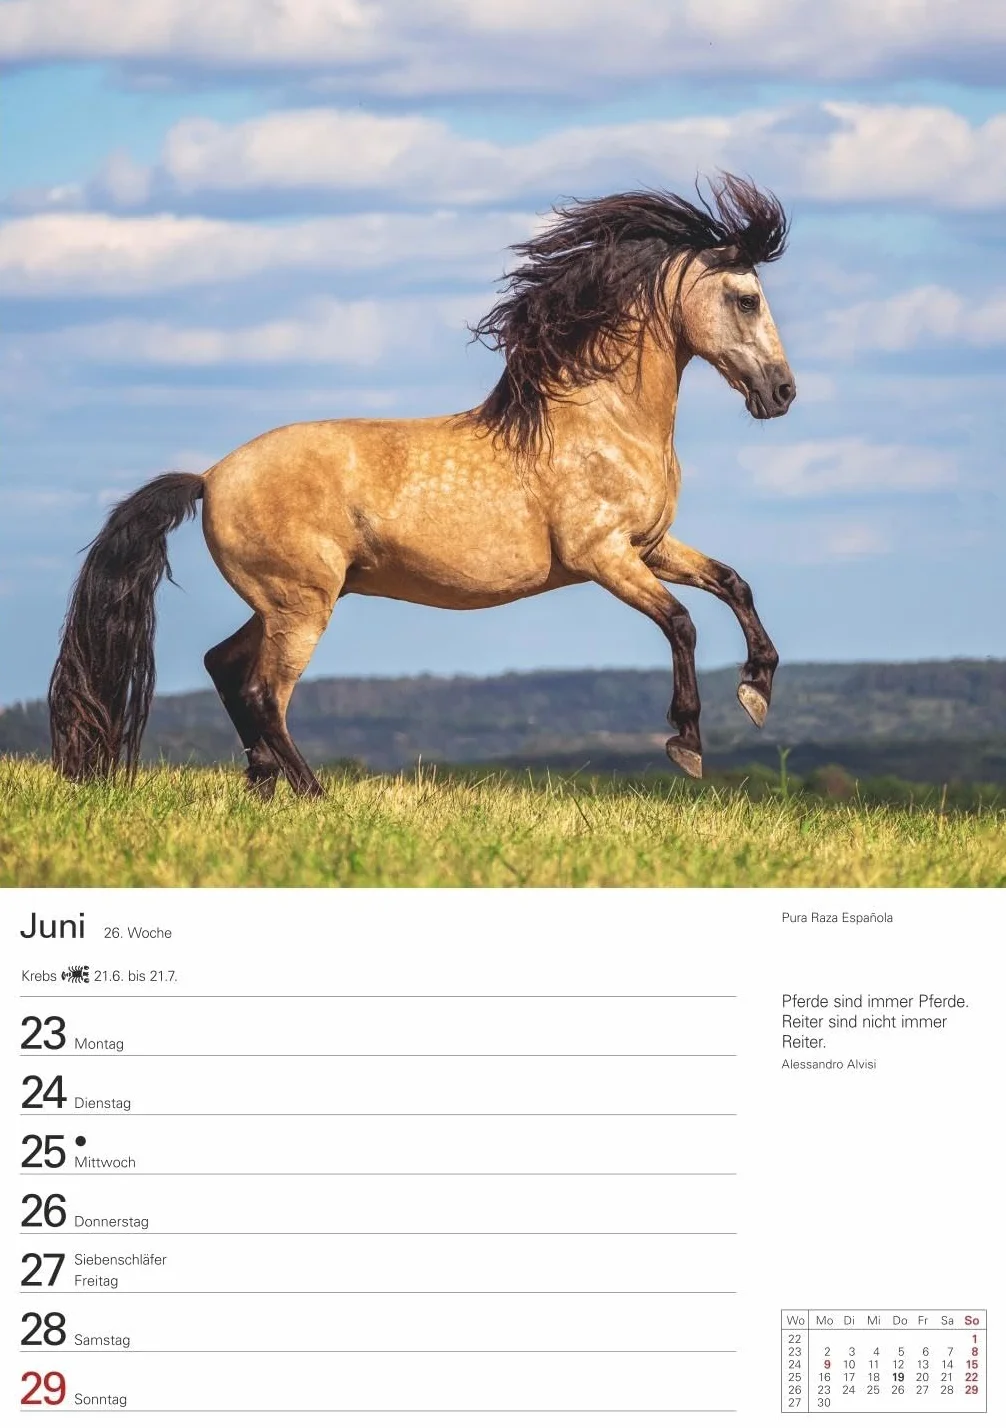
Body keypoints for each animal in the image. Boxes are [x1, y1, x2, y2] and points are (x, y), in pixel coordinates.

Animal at [48, 173, 795, 798]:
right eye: (746, 299)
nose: (782, 393)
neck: (600, 420)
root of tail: (209, 477)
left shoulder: (649, 544)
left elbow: (733, 583)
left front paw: (757, 689)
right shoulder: (603, 556)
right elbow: (682, 622)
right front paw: (687, 742)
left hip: (286, 601)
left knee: (224, 667)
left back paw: (264, 785)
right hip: (301, 606)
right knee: (263, 692)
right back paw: (312, 794)